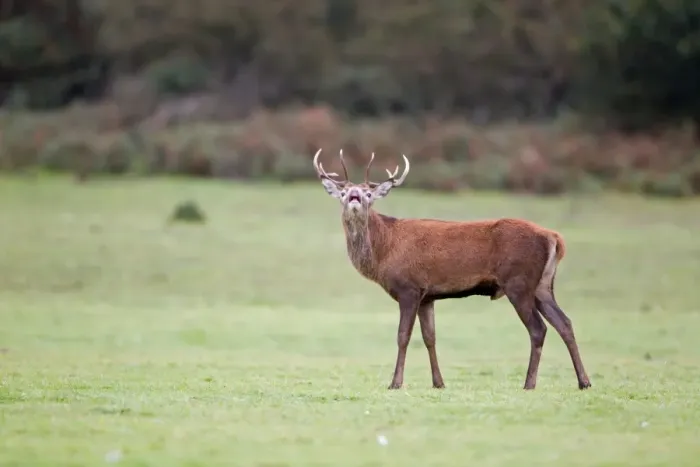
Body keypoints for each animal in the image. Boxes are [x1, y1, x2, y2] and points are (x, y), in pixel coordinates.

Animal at [312, 149, 591, 391]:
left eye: (369, 193)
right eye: (342, 192)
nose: (355, 195)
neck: (385, 250)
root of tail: (554, 238)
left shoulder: (409, 287)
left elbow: (403, 336)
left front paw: (395, 383)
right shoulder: (427, 296)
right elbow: (429, 337)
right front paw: (438, 382)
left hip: (518, 281)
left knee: (538, 328)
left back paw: (529, 383)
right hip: (543, 285)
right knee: (565, 323)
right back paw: (584, 381)